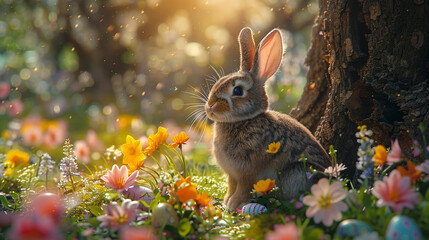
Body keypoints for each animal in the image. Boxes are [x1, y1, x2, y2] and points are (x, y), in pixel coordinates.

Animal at [204, 27, 332, 210]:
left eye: (237, 91)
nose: (210, 107)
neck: (244, 120)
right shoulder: (232, 175)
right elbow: (231, 186)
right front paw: (226, 201)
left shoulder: (247, 172)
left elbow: (243, 188)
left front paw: (234, 204)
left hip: (296, 172)